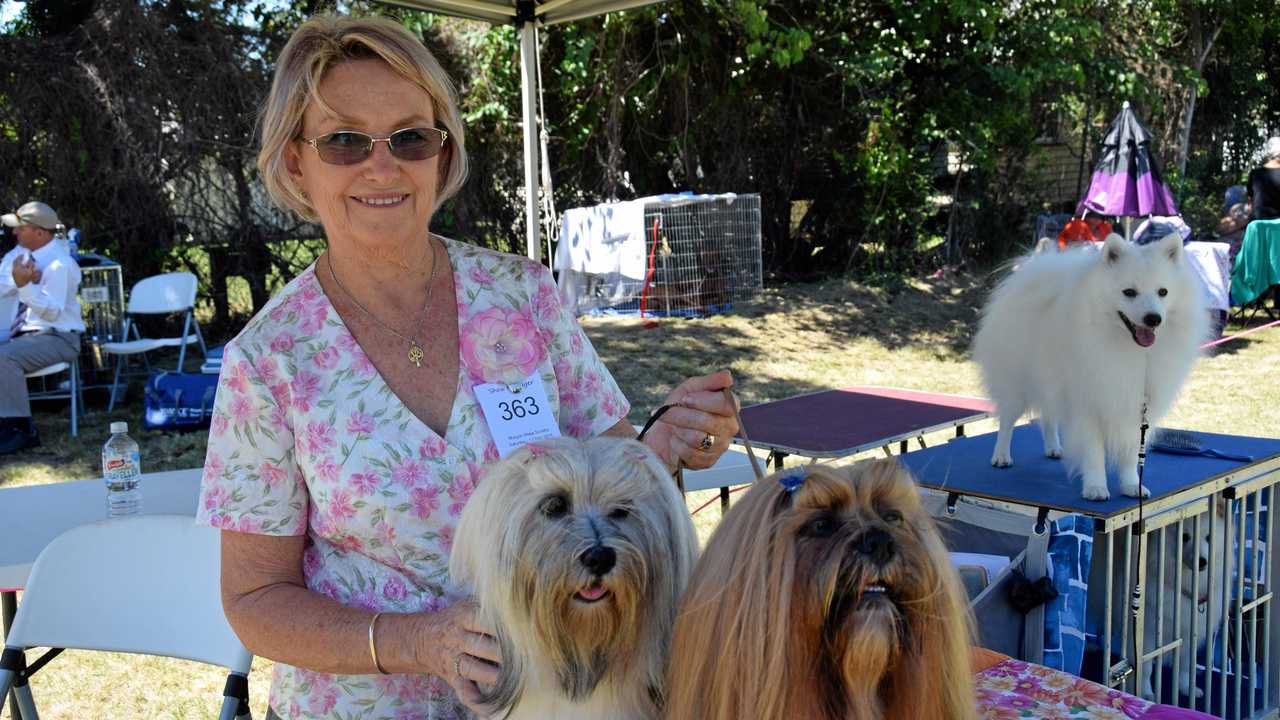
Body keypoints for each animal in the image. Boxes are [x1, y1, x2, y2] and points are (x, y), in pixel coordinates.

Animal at [972, 233, 1203, 497]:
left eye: (1163, 292)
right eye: (1129, 292)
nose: (1153, 318)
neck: (1132, 351)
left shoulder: (1136, 406)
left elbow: (1131, 454)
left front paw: (1131, 486)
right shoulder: (1088, 404)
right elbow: (1094, 452)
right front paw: (1095, 487)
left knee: (1048, 417)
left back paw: (1053, 448)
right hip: (1016, 385)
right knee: (1007, 421)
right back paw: (1001, 456)